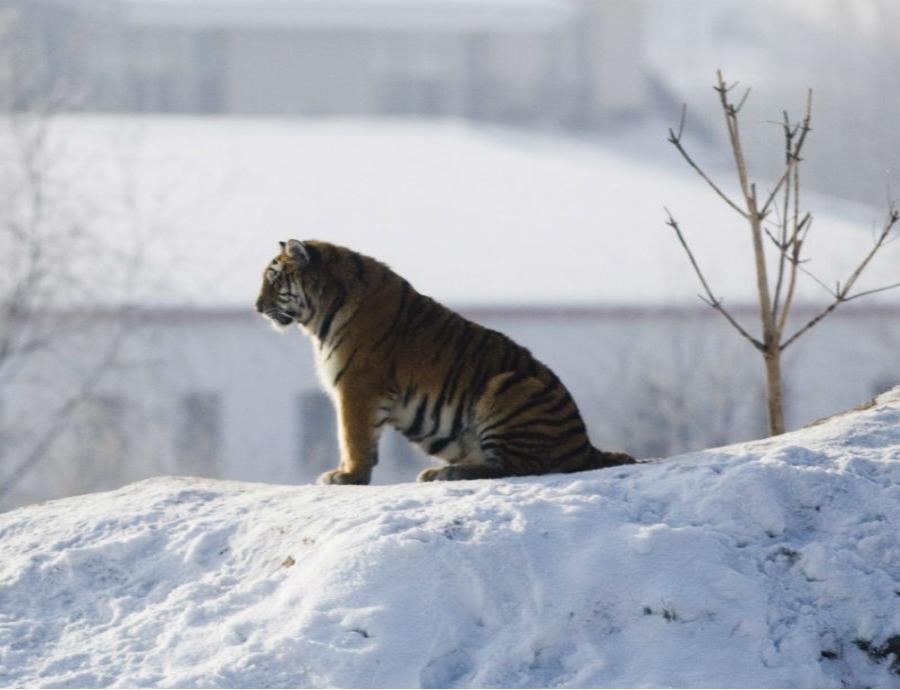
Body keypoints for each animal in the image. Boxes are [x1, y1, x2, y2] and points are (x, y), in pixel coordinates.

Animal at [256, 239, 635, 484]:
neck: (321, 316)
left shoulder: (357, 386)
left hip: (511, 386)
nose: (257, 307)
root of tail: (585, 445)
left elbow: (353, 435)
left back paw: (450, 472)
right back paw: (438, 472)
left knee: (523, 466)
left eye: (274, 278)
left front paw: (347, 476)